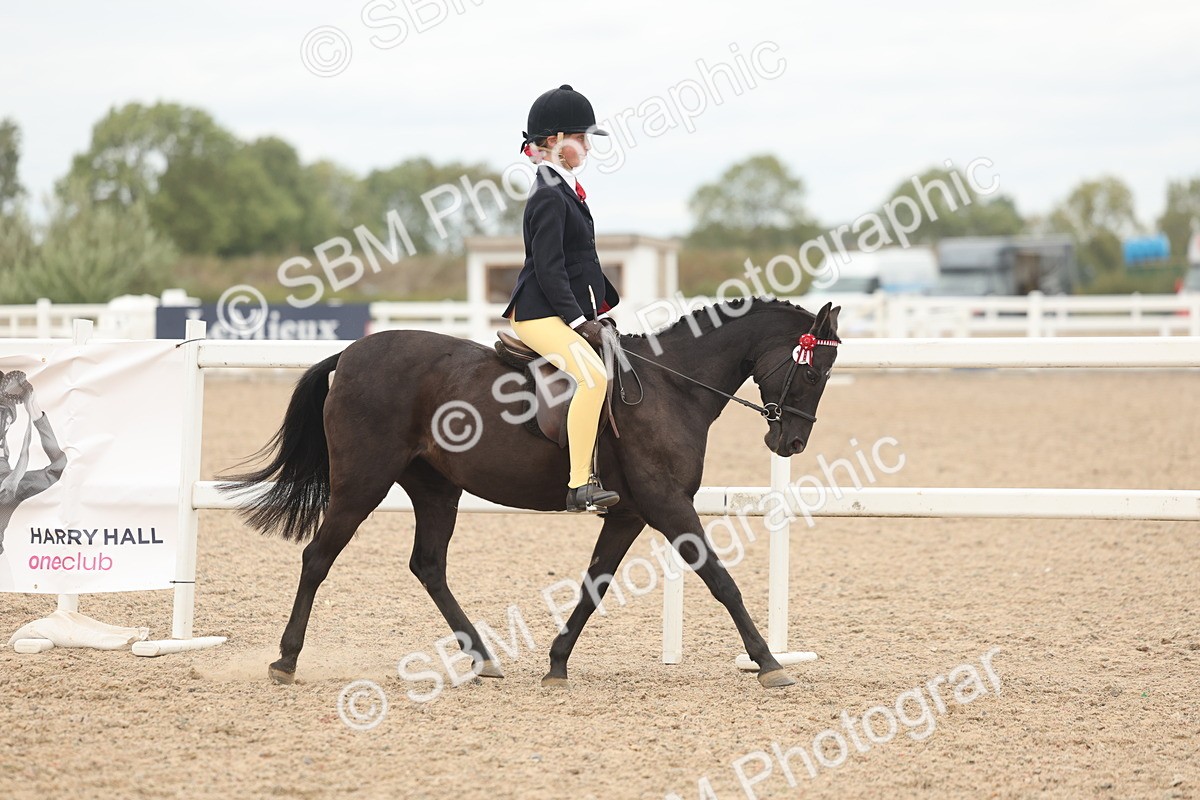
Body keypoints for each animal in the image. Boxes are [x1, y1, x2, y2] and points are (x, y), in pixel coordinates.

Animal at [220, 297, 842, 688]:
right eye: (814, 373)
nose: (791, 442)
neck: (673, 386)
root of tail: (349, 354)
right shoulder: (668, 505)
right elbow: (722, 580)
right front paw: (768, 662)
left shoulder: (630, 514)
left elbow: (595, 585)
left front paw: (557, 663)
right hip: (362, 483)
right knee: (318, 557)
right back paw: (285, 660)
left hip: (436, 488)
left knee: (428, 565)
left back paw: (483, 658)